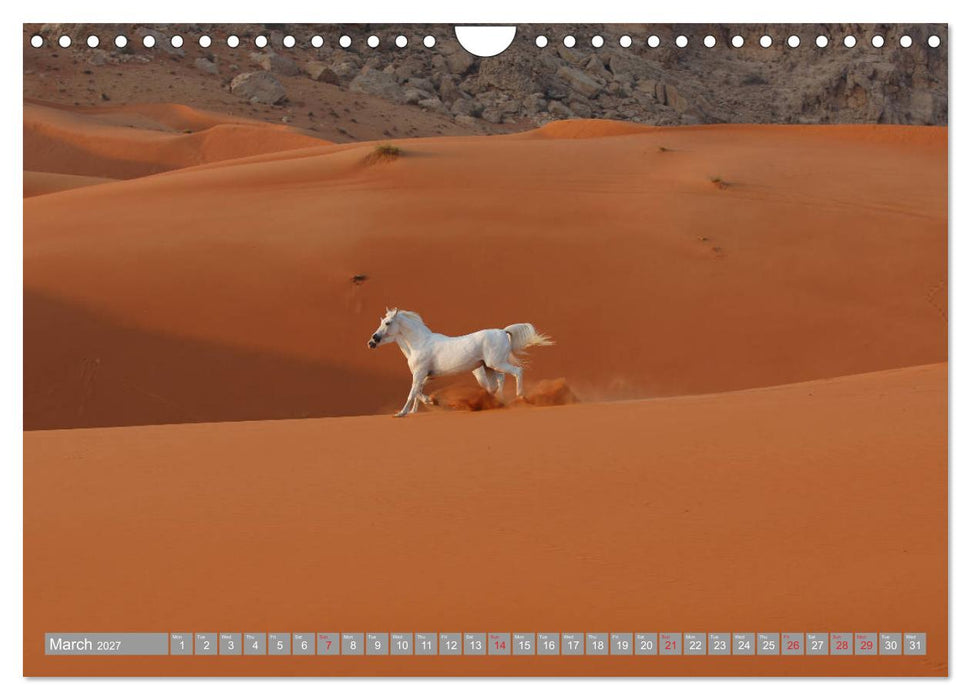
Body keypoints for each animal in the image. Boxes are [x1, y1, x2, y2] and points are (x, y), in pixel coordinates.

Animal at [367, 308, 554, 417]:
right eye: (381, 322)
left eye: (387, 323)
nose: (372, 341)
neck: (419, 343)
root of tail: (502, 331)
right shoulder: (425, 375)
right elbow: (418, 392)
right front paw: (419, 407)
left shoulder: (420, 373)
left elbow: (413, 392)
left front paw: (402, 413)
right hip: (488, 367)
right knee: (496, 384)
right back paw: (490, 403)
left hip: (496, 364)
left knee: (517, 372)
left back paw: (520, 397)